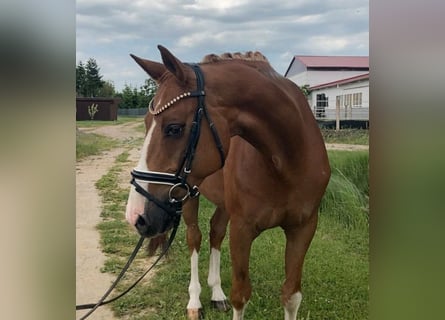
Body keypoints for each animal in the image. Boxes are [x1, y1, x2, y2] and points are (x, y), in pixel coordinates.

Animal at [125, 45, 330, 320]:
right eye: (146, 124)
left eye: (174, 128)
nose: (136, 215)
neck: (288, 162)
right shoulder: (242, 230)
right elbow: (240, 295)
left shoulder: (303, 228)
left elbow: (291, 296)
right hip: (188, 198)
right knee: (195, 237)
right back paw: (195, 301)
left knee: (215, 232)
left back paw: (216, 293)